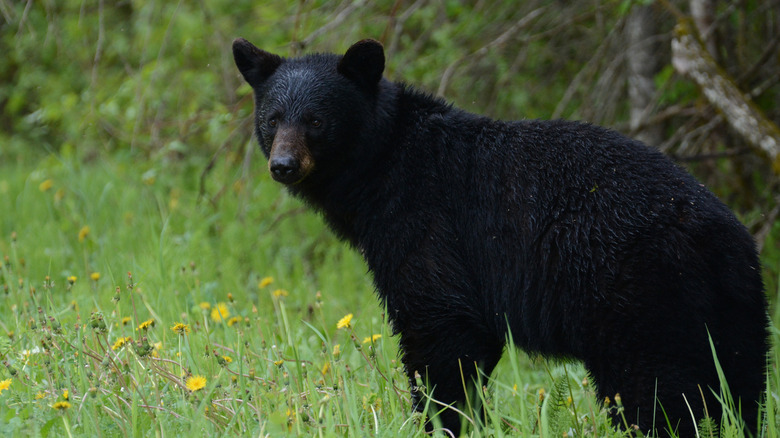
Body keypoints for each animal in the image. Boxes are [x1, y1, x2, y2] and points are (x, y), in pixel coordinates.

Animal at [232, 38, 769, 436]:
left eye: (316, 120)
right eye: (272, 118)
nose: (283, 165)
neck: (383, 164)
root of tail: (721, 235)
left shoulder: (425, 223)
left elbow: (440, 328)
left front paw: (439, 421)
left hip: (644, 297)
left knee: (658, 396)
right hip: (730, 307)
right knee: (743, 384)